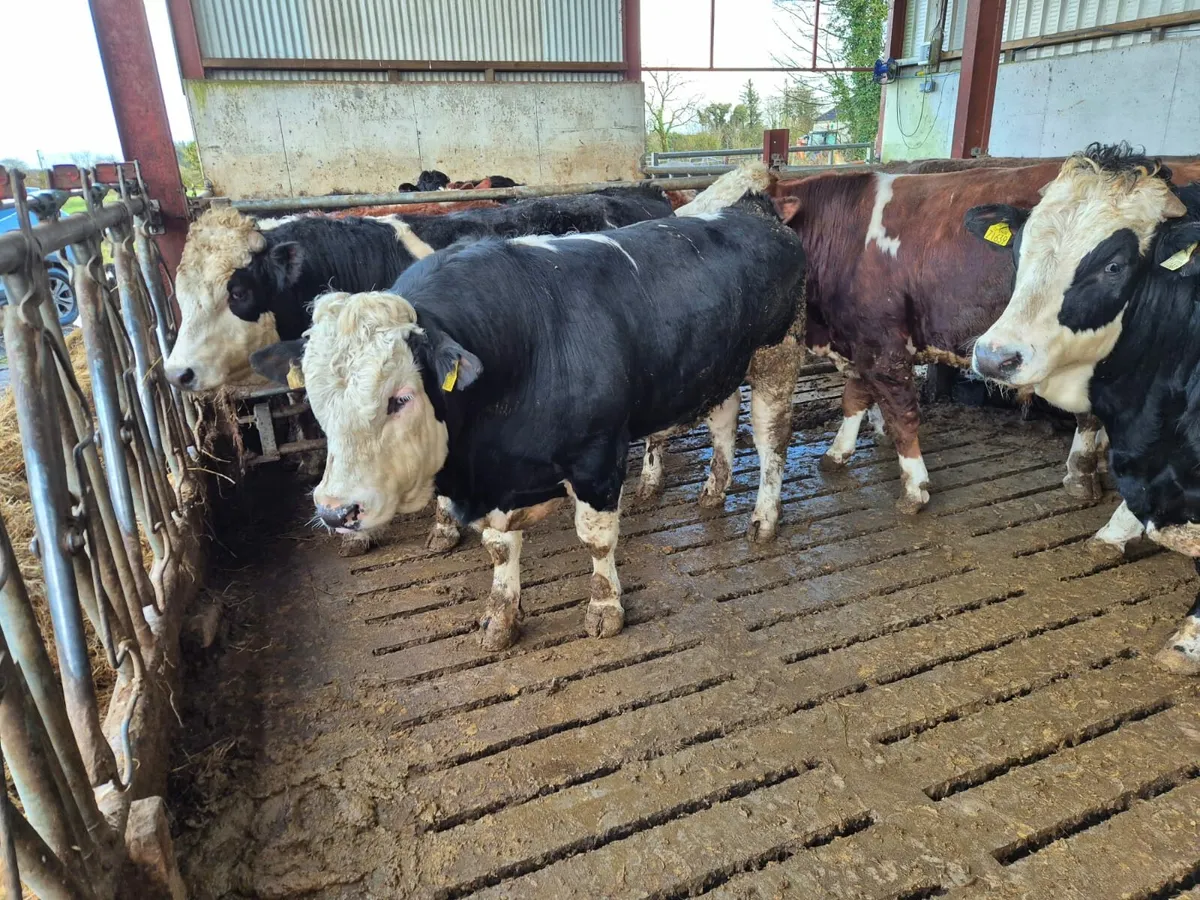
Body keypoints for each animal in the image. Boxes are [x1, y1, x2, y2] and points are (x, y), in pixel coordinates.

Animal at [251, 191, 806, 650]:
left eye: (399, 398)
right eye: (316, 400)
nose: (334, 511)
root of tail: (754, 209)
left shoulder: (597, 458)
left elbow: (596, 538)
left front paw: (605, 607)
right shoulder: (496, 481)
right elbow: (499, 550)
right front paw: (501, 617)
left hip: (777, 356)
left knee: (771, 441)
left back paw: (763, 518)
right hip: (722, 367)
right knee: (723, 418)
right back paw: (713, 490)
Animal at [760, 158, 1200, 513]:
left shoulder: (883, 343)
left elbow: (901, 413)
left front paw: (915, 489)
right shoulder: (861, 338)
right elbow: (854, 397)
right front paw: (836, 455)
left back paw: (1081, 477)